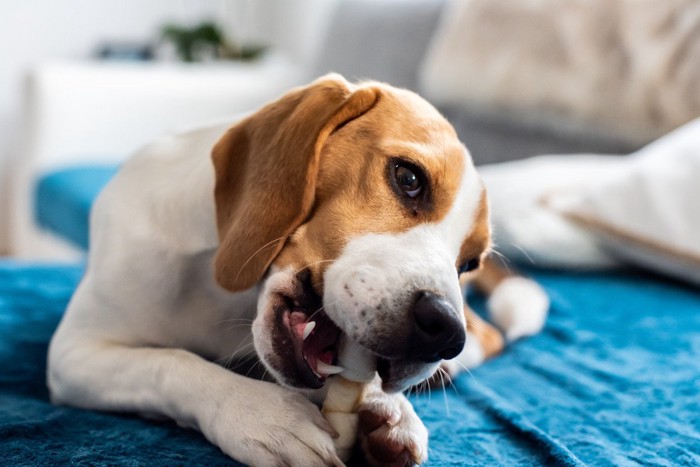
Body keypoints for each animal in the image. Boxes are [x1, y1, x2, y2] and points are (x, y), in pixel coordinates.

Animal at [49, 75, 548, 466]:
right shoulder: (75, 355)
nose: (444, 332)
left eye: (468, 263)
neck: (227, 297)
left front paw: (390, 407)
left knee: (489, 336)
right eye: (409, 179)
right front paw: (262, 415)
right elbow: (171, 363)